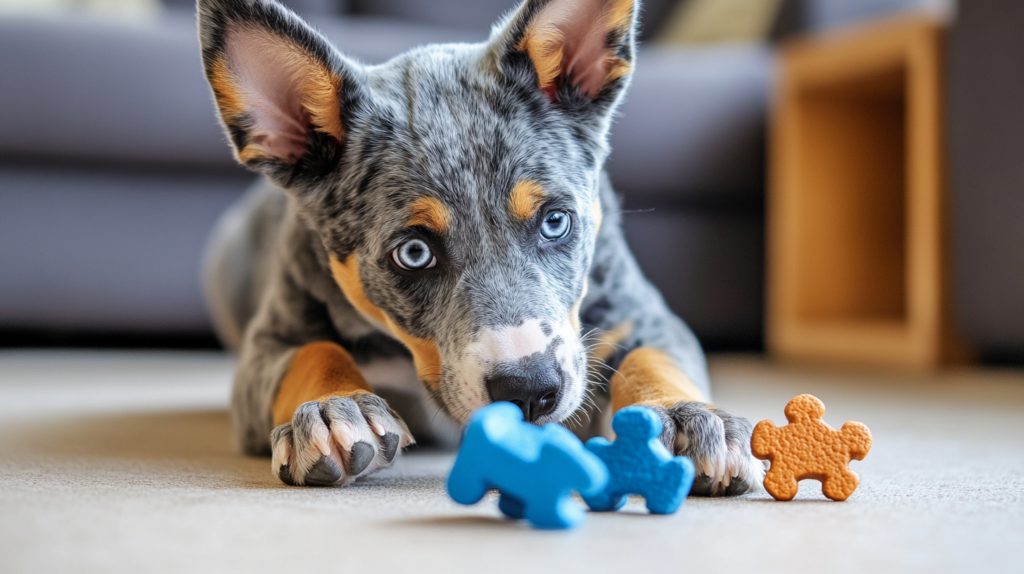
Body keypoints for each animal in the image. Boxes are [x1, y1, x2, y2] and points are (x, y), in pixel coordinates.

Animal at [197, 0, 770, 495]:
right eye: (413, 253)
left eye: (556, 222)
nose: (530, 390)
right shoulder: (267, 346)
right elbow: (313, 350)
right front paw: (335, 409)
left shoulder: (640, 313)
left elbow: (653, 359)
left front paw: (686, 418)